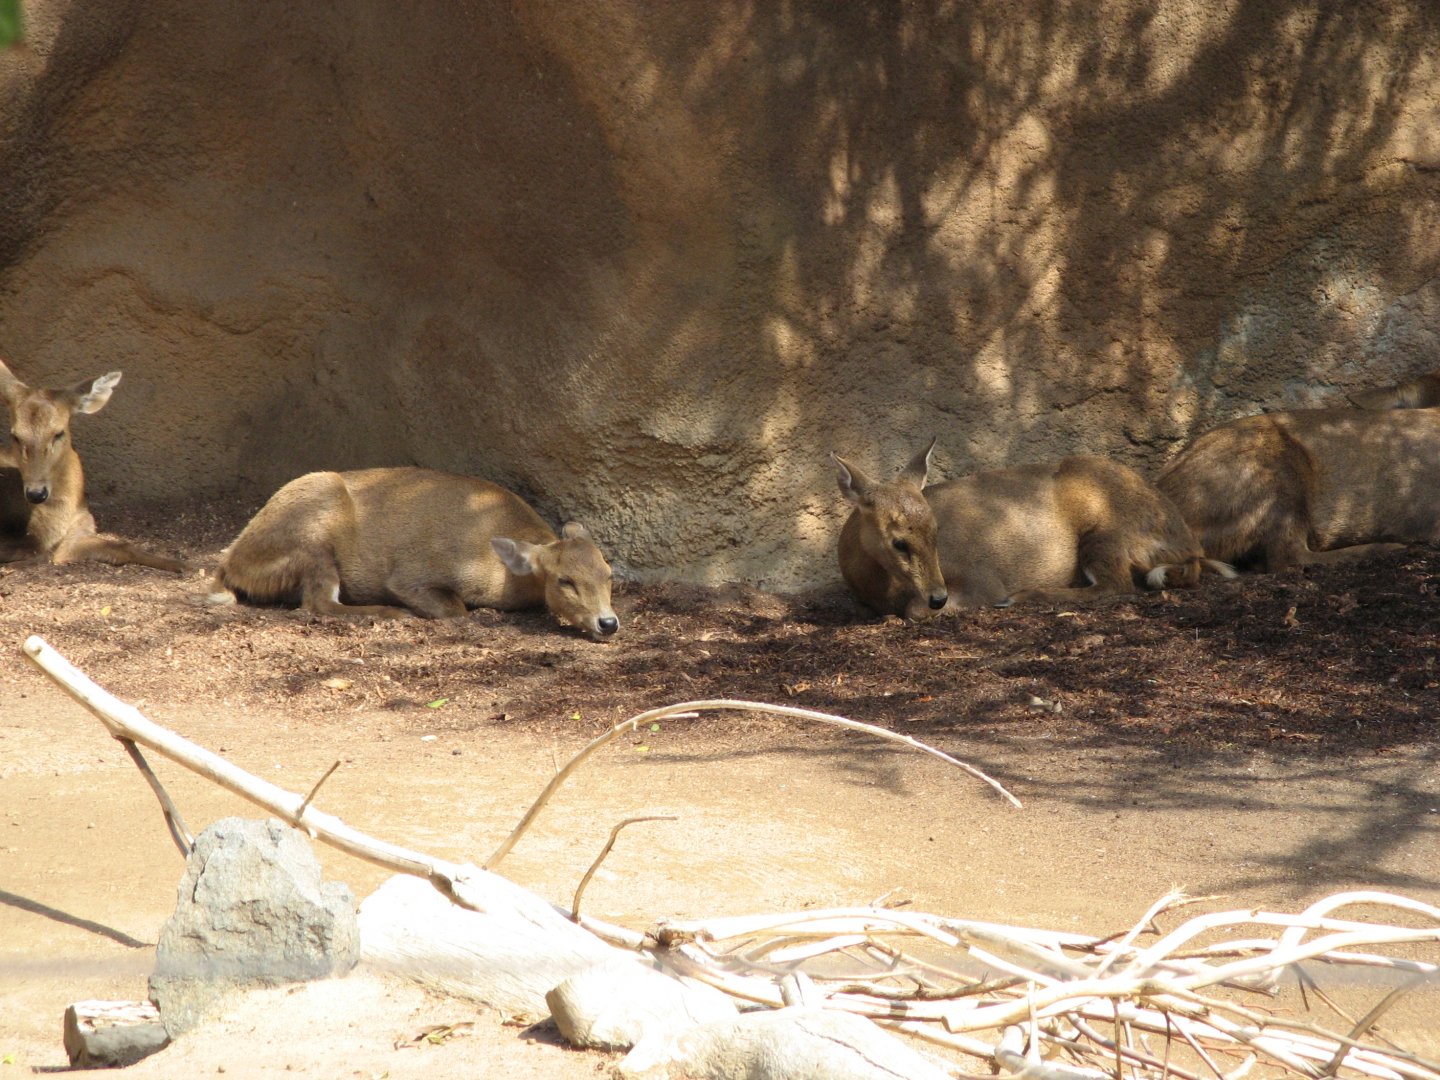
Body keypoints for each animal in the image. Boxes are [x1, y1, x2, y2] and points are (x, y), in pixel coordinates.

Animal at [0, 359, 188, 571]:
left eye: (59, 433)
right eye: (15, 436)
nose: (36, 493)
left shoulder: (82, 527)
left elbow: (123, 546)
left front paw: (184, 565)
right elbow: (39, 555)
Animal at [204, 467, 621, 639]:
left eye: (609, 573)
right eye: (564, 580)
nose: (608, 623)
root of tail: (230, 564)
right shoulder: (412, 574)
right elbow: (455, 609)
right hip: (315, 535)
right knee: (319, 603)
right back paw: (394, 614)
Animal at [832, 440, 1230, 619]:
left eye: (935, 532)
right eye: (899, 542)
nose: (938, 597)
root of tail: (1186, 542)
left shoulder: (981, 579)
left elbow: (915, 611)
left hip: (1106, 535)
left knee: (1116, 586)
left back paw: (1021, 596)